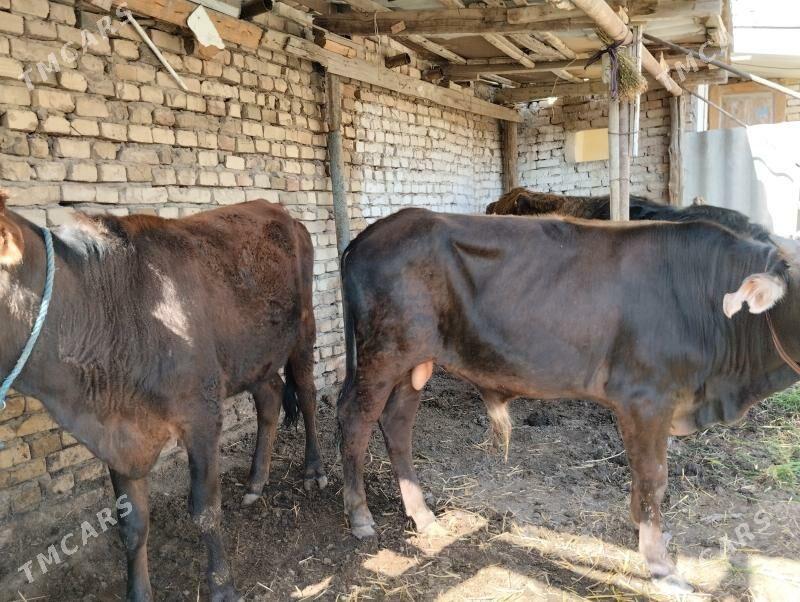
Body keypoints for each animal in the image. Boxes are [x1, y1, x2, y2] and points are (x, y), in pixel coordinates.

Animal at [0, 193, 325, 601]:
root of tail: (277, 209)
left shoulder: (201, 414)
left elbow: (204, 508)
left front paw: (222, 586)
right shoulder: (118, 435)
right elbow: (132, 524)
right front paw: (138, 593)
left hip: (303, 329)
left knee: (308, 395)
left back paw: (314, 471)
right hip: (250, 354)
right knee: (271, 396)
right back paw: (255, 483)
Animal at [336, 207, 799, 592]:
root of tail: (369, 235)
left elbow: (646, 480)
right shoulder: (645, 399)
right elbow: (654, 478)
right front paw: (661, 567)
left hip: (415, 364)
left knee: (397, 424)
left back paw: (423, 515)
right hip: (384, 354)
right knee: (356, 420)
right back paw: (360, 516)